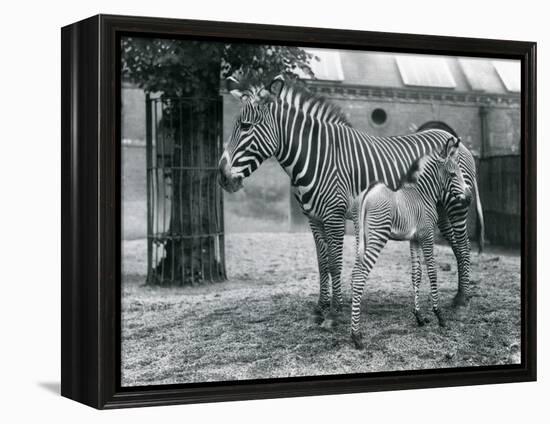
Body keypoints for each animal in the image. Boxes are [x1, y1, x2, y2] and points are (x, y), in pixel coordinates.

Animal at [218, 75, 486, 322]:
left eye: (246, 126)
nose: (222, 177)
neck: (317, 156)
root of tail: (455, 140)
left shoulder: (334, 215)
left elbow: (335, 263)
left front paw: (335, 312)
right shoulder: (314, 218)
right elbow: (322, 262)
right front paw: (321, 306)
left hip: (455, 204)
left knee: (464, 245)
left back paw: (462, 300)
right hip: (438, 209)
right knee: (456, 244)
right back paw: (458, 295)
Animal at [352, 137, 472, 350]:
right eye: (452, 174)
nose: (469, 198)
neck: (423, 194)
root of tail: (368, 191)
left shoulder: (414, 239)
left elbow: (416, 275)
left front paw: (419, 316)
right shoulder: (427, 235)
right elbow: (432, 272)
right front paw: (439, 315)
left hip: (361, 238)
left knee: (354, 274)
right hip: (377, 236)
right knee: (359, 277)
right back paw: (356, 336)